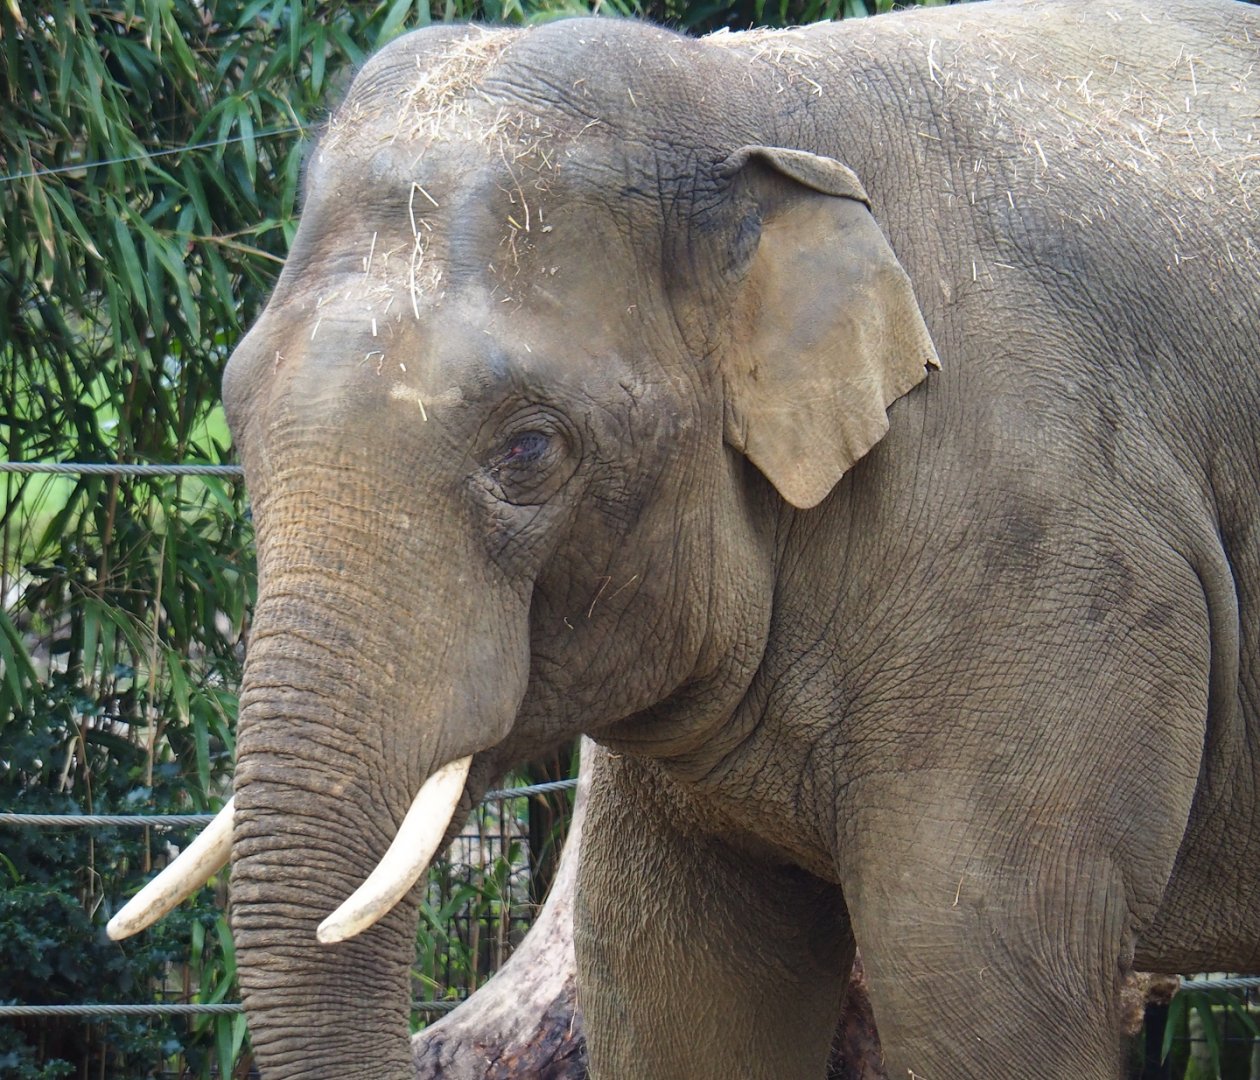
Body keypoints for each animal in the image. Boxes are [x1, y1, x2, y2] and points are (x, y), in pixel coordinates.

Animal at [107, 0, 1260, 1077]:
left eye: (529, 449)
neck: (748, 100)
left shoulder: (1039, 546)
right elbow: (681, 988)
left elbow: (979, 993)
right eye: (237, 413)